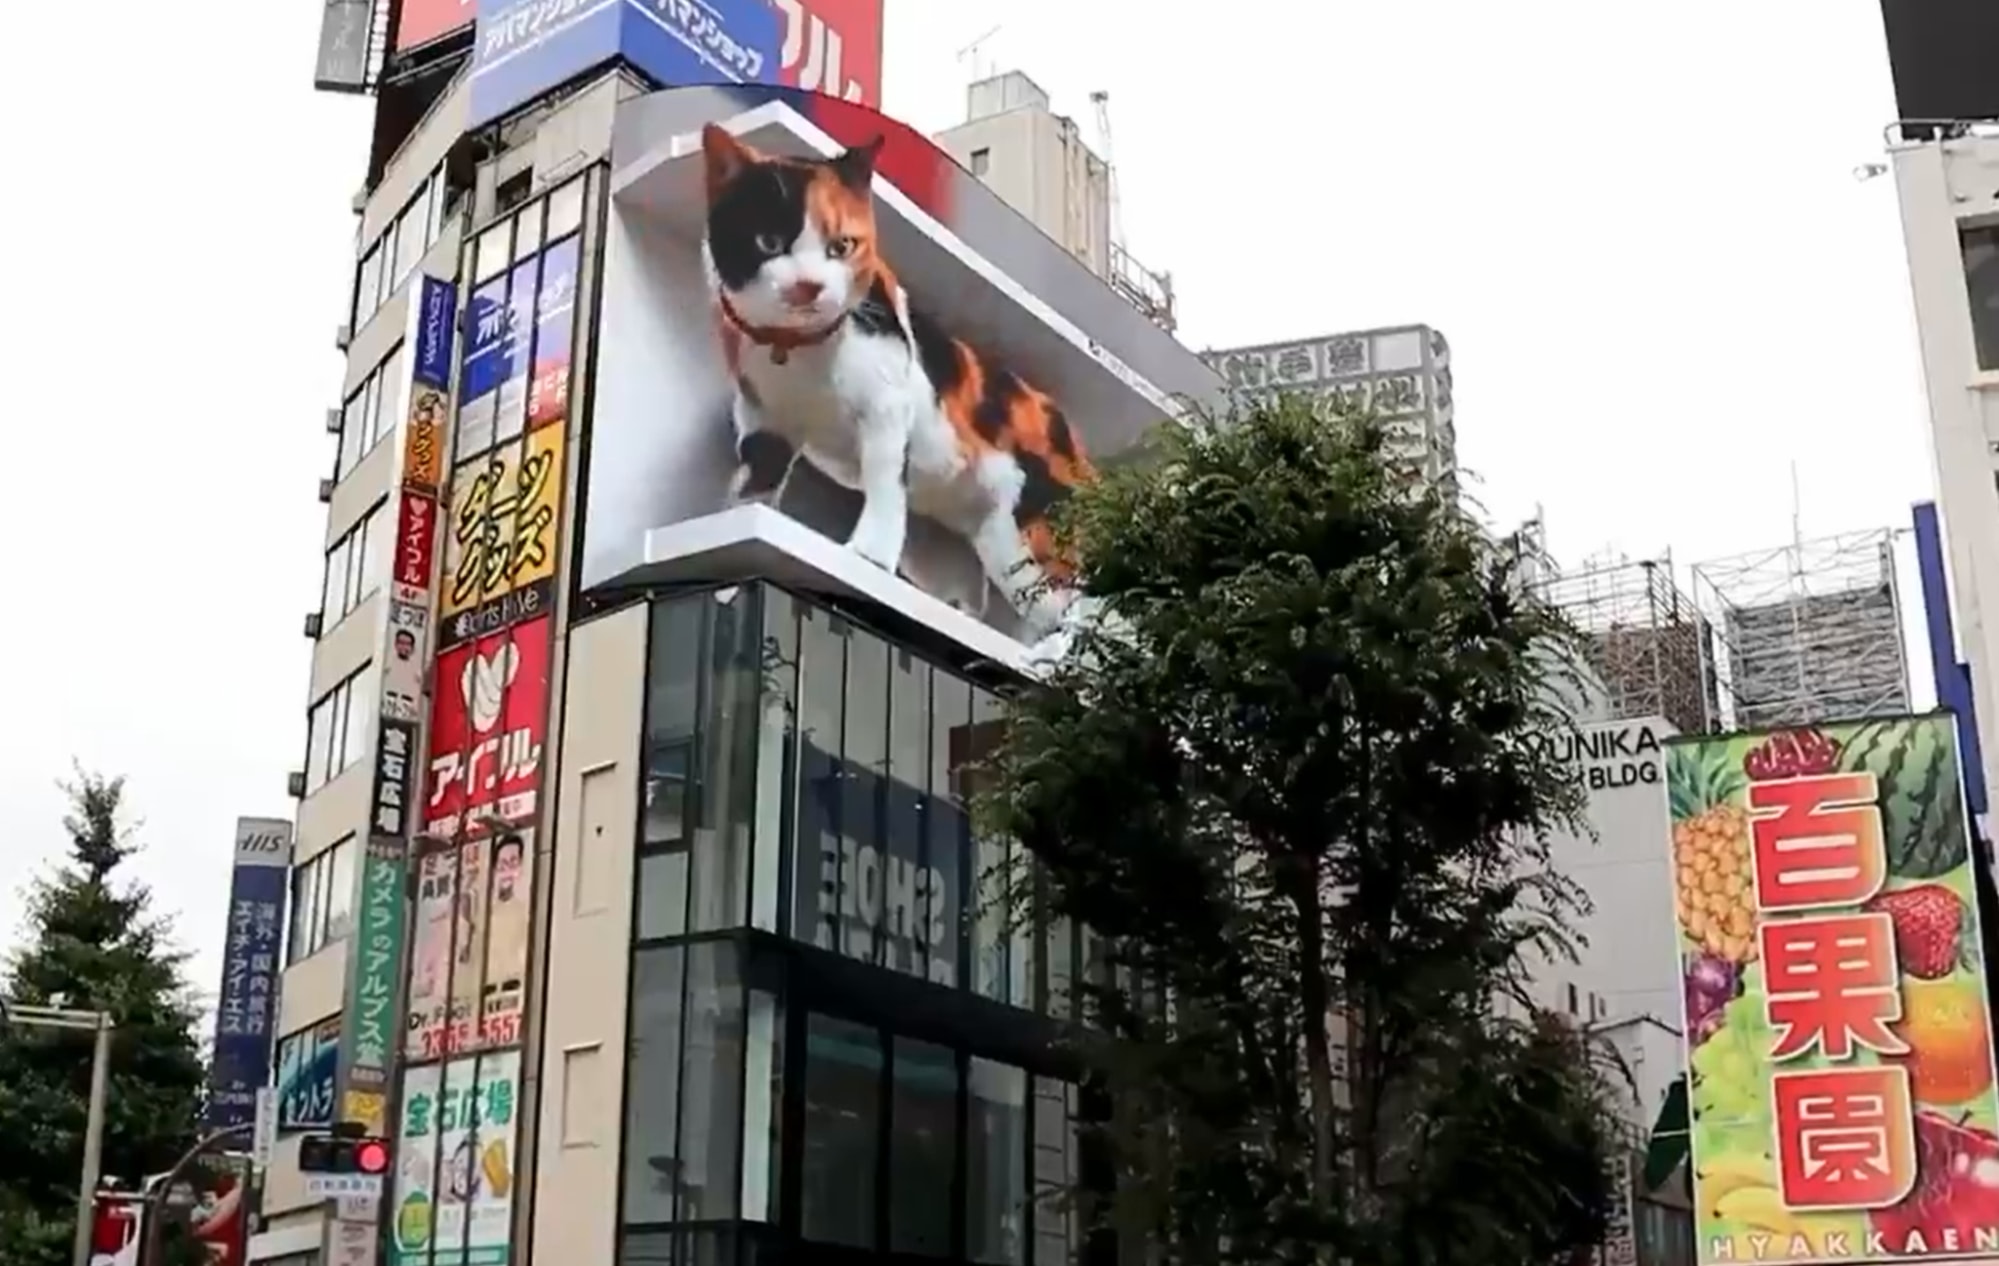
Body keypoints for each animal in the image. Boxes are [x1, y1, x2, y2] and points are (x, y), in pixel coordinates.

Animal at [703, 123, 1095, 636]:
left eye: (842, 246)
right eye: (768, 240)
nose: (808, 286)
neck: (799, 352)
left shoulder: (887, 409)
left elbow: (884, 482)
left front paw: (867, 557)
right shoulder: (762, 421)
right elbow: (754, 484)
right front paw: (733, 559)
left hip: (1032, 534)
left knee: (1082, 611)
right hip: (976, 539)